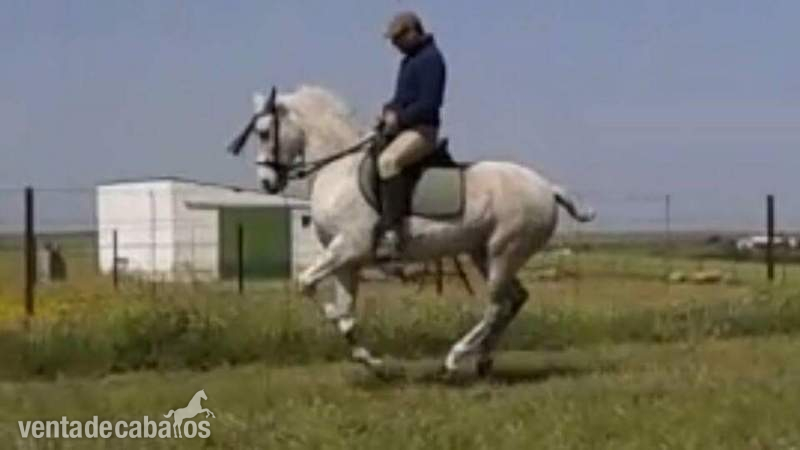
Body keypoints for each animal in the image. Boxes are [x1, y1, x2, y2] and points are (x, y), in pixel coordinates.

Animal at [227, 85, 595, 376]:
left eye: (264, 132)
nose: (267, 182)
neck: (339, 170)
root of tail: (547, 188)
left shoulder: (348, 248)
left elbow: (307, 284)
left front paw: (344, 326)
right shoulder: (345, 261)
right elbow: (344, 308)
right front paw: (370, 360)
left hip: (503, 253)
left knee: (496, 306)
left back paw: (454, 358)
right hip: (483, 254)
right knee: (515, 300)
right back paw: (483, 361)